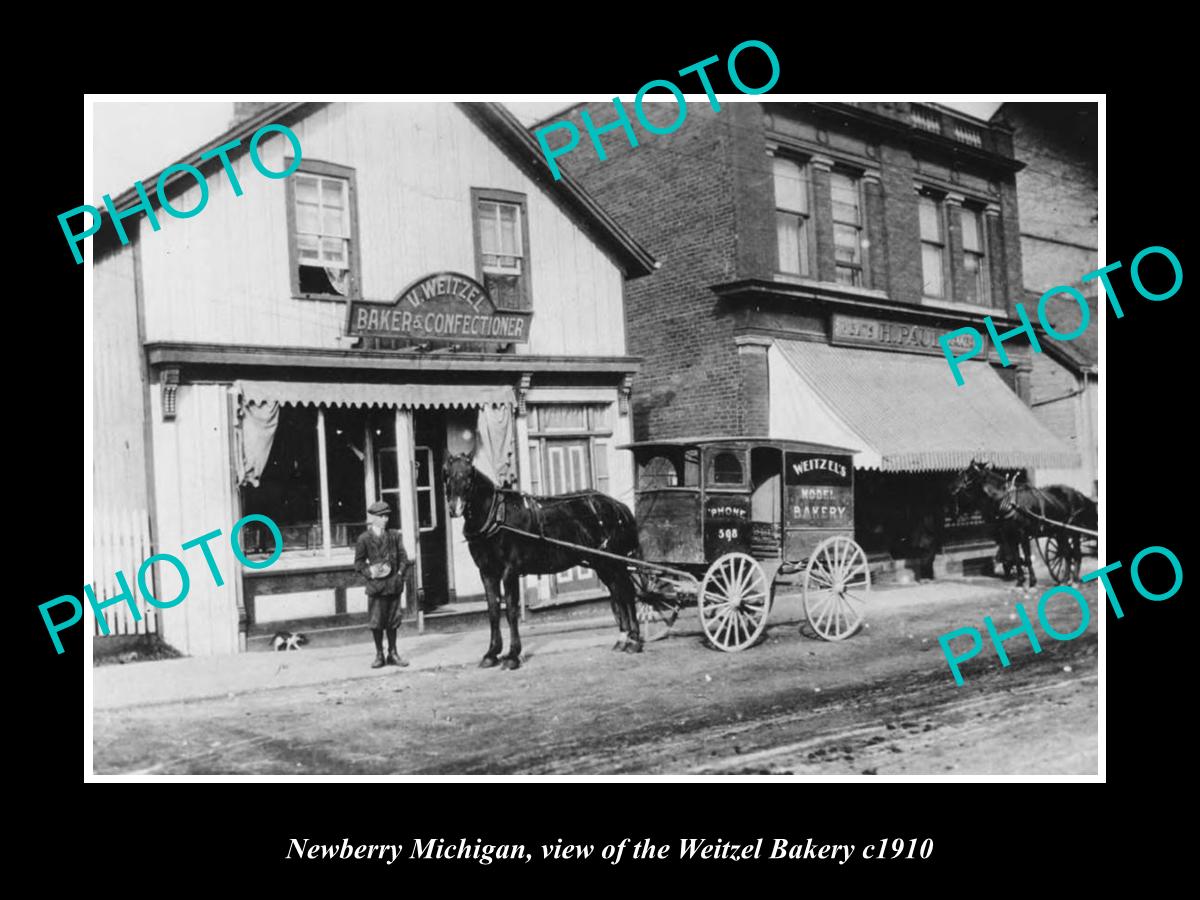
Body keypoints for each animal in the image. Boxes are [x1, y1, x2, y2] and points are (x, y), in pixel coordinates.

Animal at [444, 451, 648, 672]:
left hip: (613, 562)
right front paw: (491, 653)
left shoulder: (510, 571)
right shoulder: (487, 572)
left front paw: (512, 656)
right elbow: (493, 611)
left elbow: (511, 611)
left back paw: (634, 641)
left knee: (627, 593)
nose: (455, 508)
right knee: (618, 593)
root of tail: (618, 506)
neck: (497, 516)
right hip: (602, 563)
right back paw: (622, 639)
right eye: (446, 474)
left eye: (469, 475)